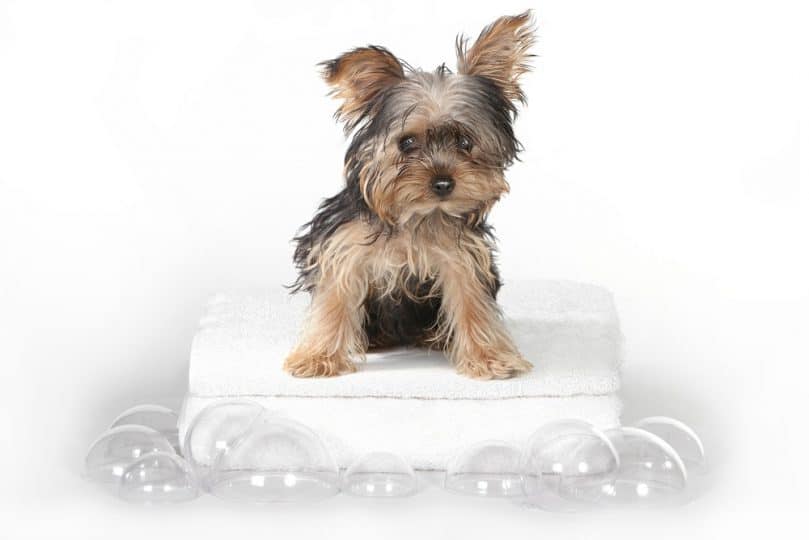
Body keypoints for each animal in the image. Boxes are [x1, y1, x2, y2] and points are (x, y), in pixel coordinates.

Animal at [286, 11, 536, 380]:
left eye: (465, 142)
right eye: (406, 143)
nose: (443, 183)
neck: (416, 215)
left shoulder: (462, 257)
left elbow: (472, 301)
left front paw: (488, 357)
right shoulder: (343, 246)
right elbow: (335, 298)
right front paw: (318, 357)